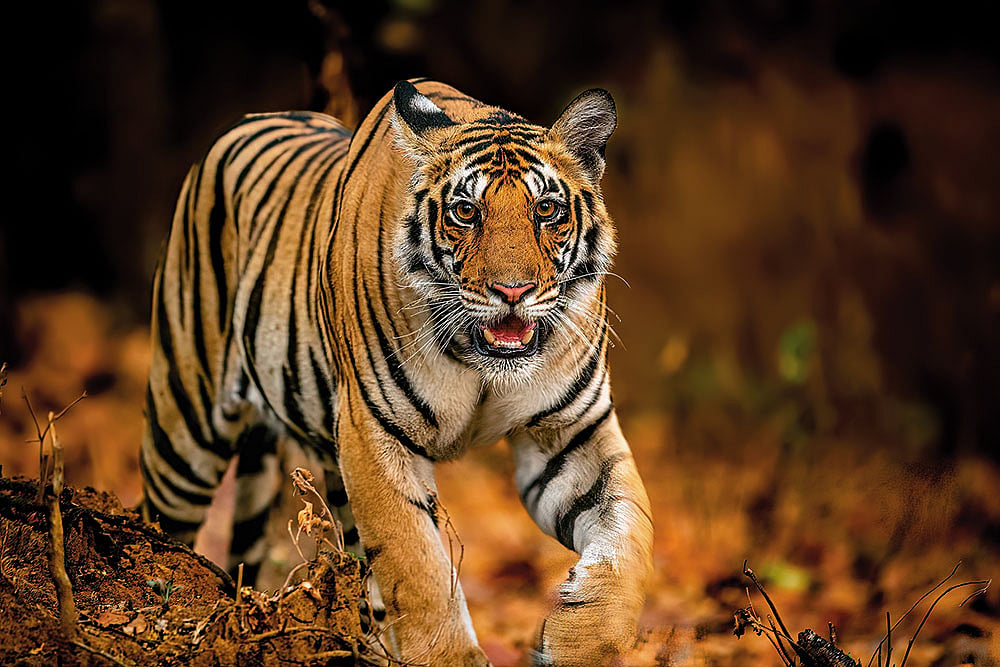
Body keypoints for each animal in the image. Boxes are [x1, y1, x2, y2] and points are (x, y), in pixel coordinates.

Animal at [140, 78, 654, 666]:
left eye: (546, 209)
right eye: (464, 212)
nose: (513, 291)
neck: (482, 365)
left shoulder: (570, 432)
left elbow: (630, 537)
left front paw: (577, 639)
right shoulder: (373, 434)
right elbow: (418, 566)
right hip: (184, 425)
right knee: (160, 522)